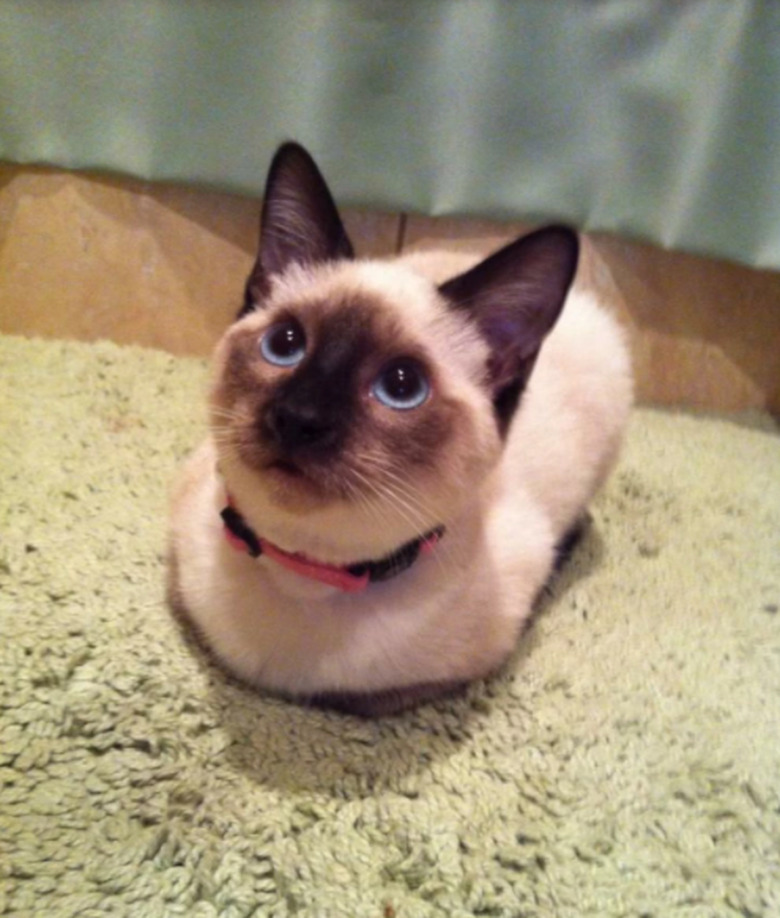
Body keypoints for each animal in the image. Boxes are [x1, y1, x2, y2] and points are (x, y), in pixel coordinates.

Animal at [169, 144, 632, 720]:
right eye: (286, 344)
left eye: (401, 385)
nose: (299, 417)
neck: (304, 576)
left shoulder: (427, 680)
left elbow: (367, 698)